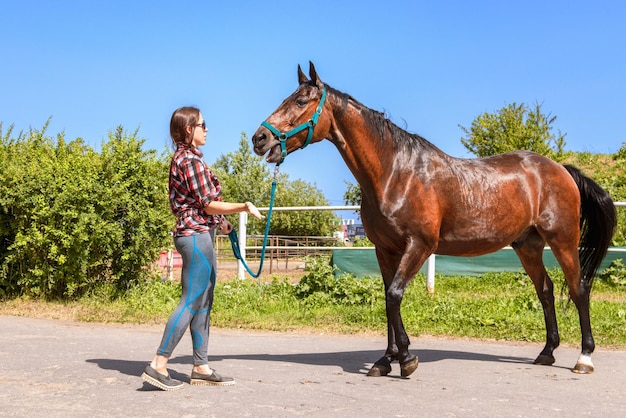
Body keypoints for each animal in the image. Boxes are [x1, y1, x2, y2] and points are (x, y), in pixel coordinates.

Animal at [250, 63, 616, 378]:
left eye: (300, 101)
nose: (259, 139)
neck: (395, 172)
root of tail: (560, 170)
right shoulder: (385, 250)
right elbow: (387, 299)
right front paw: (385, 360)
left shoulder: (420, 246)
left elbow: (395, 295)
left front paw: (406, 359)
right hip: (528, 246)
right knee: (546, 291)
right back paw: (546, 352)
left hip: (563, 241)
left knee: (579, 289)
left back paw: (584, 358)